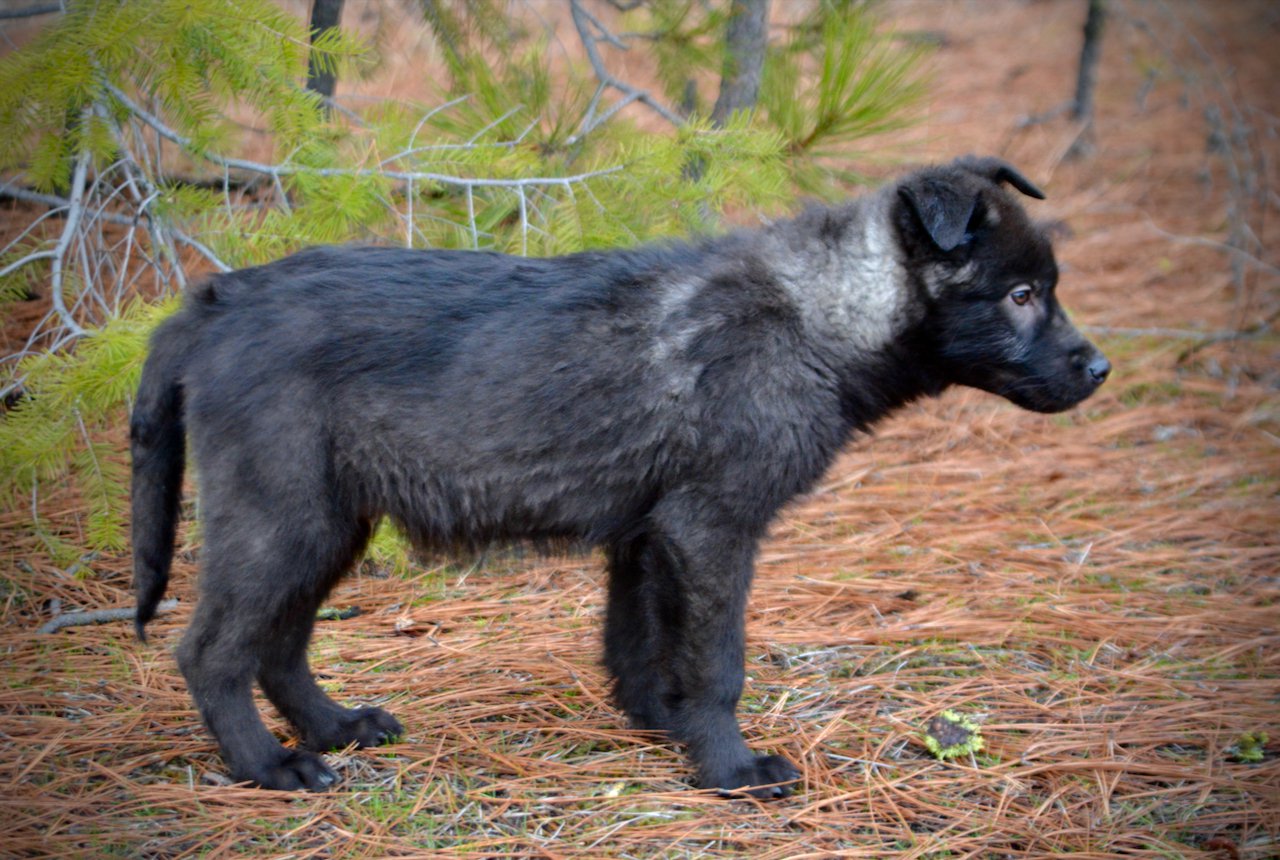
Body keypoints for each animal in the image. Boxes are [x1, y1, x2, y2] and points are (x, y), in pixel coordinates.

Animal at [132, 154, 1111, 793]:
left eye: (1049, 288)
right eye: (1022, 295)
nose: (1099, 369)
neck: (815, 315)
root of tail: (215, 301)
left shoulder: (648, 534)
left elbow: (641, 648)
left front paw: (661, 729)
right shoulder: (710, 527)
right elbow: (717, 663)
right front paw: (731, 769)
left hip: (330, 521)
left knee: (281, 644)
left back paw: (337, 729)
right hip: (281, 519)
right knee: (211, 652)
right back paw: (269, 765)